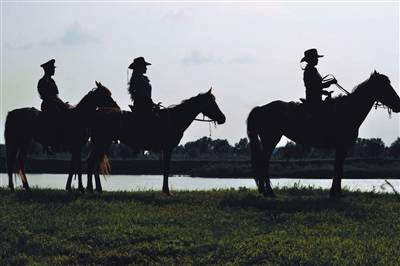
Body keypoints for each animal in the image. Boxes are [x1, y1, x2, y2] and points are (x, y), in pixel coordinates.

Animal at [86, 88, 225, 194]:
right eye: (211, 103)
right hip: (102, 143)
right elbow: (166, 169)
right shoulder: (168, 149)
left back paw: (96, 189)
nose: (223, 118)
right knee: (91, 162)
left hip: (103, 144)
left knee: (94, 163)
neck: (174, 118)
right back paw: (91, 189)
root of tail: (96, 113)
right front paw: (167, 191)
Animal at [247, 71, 400, 197]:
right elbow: (338, 169)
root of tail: (261, 108)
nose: (398, 104)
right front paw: (335, 193)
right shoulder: (342, 146)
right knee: (264, 162)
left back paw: (265, 191)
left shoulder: (342, 148)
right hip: (271, 140)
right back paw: (269, 192)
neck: (348, 109)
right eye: (385, 86)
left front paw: (336, 192)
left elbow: (339, 168)